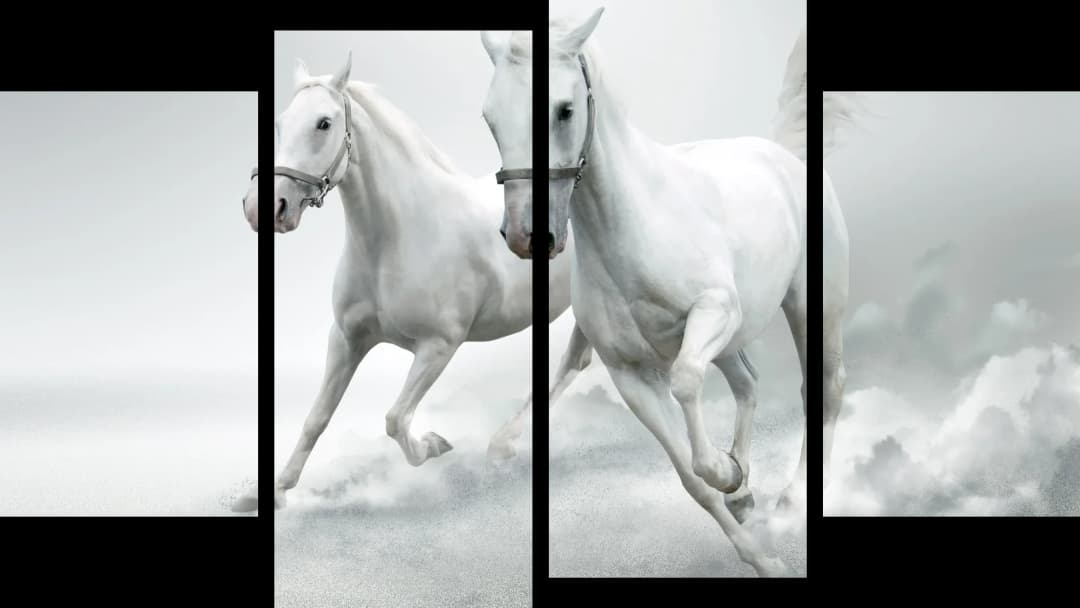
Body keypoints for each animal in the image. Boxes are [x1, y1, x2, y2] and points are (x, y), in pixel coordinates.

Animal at [237, 53, 574, 511]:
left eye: (324, 123)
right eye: (280, 123)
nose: (264, 208)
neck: (398, 237)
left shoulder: (438, 346)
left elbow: (396, 419)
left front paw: (434, 444)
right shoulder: (346, 340)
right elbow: (316, 419)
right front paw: (269, 492)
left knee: (573, 364)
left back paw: (502, 444)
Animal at [480, 9, 807, 577]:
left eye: (564, 110)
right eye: (491, 119)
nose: (526, 236)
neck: (632, 226)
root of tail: (778, 153)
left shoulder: (713, 312)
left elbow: (686, 383)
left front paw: (729, 475)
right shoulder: (630, 375)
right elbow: (693, 481)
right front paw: (752, 533)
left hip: (805, 304)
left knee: (822, 388)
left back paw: (787, 496)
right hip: (734, 339)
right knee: (748, 382)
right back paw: (747, 489)